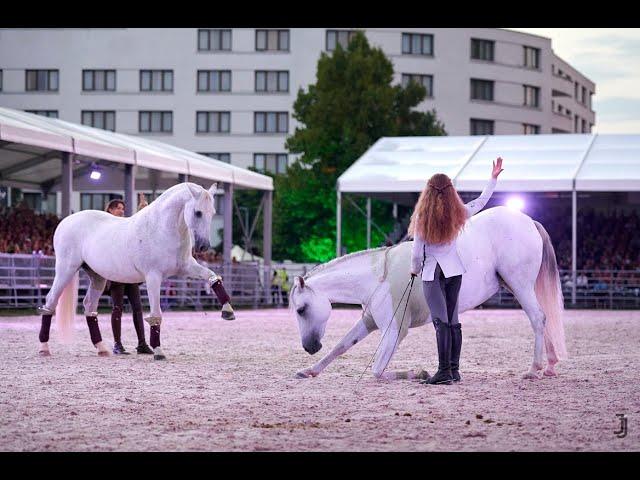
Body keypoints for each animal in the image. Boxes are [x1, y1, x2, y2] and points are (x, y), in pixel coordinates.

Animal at [37, 182, 228, 358]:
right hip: (66, 270)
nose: (203, 246)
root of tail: (64, 222)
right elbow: (156, 313)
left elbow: (212, 277)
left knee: (89, 306)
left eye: (212, 212)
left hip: (97, 277)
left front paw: (228, 311)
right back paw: (44, 348)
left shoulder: (186, 267)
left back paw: (102, 348)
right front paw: (158, 351)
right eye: (198, 212)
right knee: (50, 301)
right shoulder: (153, 277)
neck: (161, 228)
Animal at [288, 208, 564, 380]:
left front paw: (417, 373)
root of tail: (528, 221)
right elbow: (341, 346)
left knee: (538, 319)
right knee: (545, 319)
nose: (309, 347)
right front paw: (309, 370)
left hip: (520, 286)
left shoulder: (394, 332)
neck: (379, 278)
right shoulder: (369, 323)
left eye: (301, 309)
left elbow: (377, 370)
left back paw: (534, 369)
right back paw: (550, 366)